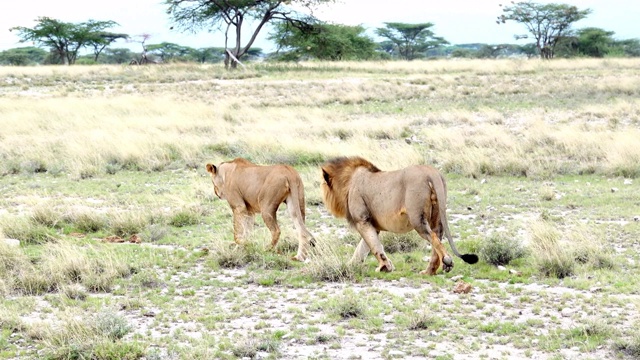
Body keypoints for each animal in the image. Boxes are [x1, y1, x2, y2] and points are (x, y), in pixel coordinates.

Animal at [320, 156, 476, 274]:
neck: (348, 181)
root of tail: (432, 172)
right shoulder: (372, 224)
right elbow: (364, 247)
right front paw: (352, 265)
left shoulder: (362, 220)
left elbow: (374, 246)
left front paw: (385, 267)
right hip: (437, 214)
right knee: (437, 236)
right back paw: (429, 271)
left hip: (416, 218)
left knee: (433, 237)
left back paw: (447, 262)